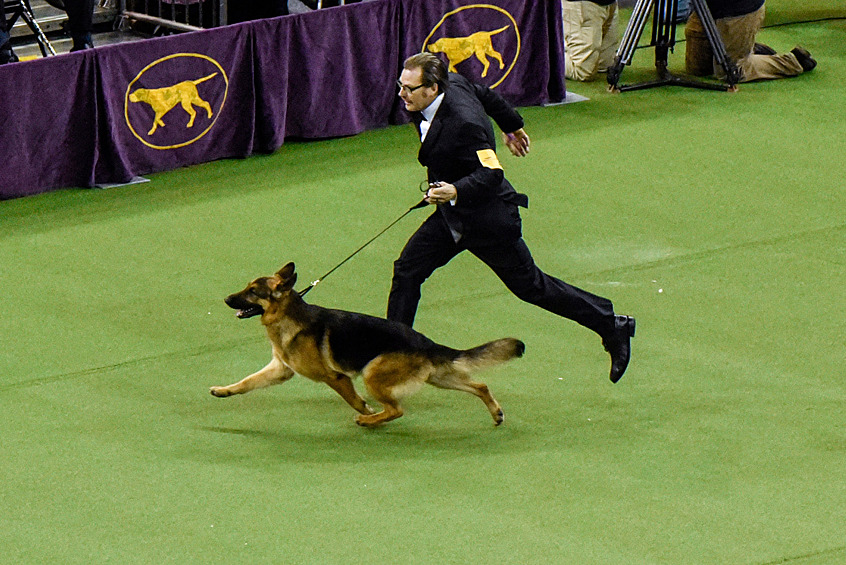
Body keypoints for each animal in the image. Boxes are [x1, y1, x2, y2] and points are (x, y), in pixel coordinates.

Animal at [210, 262, 528, 426]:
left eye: (253, 292)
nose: (225, 299)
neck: (288, 315)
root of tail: (426, 342)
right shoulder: (280, 370)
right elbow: (247, 382)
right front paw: (224, 390)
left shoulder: (336, 378)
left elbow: (354, 400)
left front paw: (366, 412)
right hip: (438, 377)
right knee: (480, 385)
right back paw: (496, 413)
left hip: (373, 373)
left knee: (397, 410)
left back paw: (370, 421)